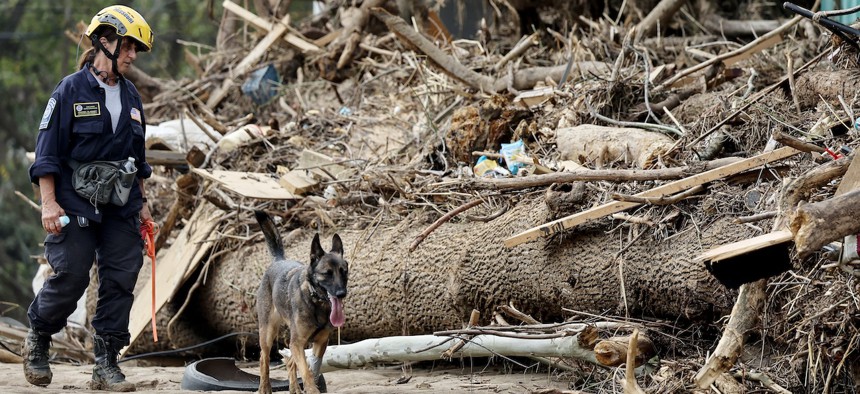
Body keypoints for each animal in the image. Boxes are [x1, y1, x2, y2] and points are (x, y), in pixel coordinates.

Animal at [254, 212, 348, 394]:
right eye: (327, 273)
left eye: (344, 272)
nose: (341, 294)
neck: (316, 302)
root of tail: (279, 260)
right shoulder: (297, 342)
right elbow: (305, 370)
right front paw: (312, 389)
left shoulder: (319, 343)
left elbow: (311, 368)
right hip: (268, 333)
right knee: (264, 358)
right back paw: (265, 387)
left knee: (290, 361)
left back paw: (294, 388)